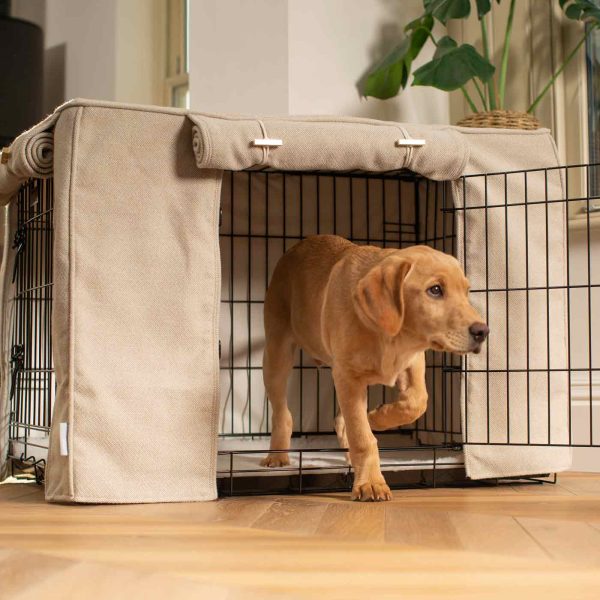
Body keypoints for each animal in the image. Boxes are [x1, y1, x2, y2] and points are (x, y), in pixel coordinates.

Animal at [258, 234, 488, 502]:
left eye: (467, 291)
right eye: (435, 290)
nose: (483, 331)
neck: (394, 338)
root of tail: (296, 247)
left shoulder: (412, 362)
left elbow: (416, 402)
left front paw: (377, 417)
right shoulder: (348, 376)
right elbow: (362, 436)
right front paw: (370, 482)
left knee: (340, 419)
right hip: (277, 353)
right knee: (282, 412)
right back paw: (277, 456)